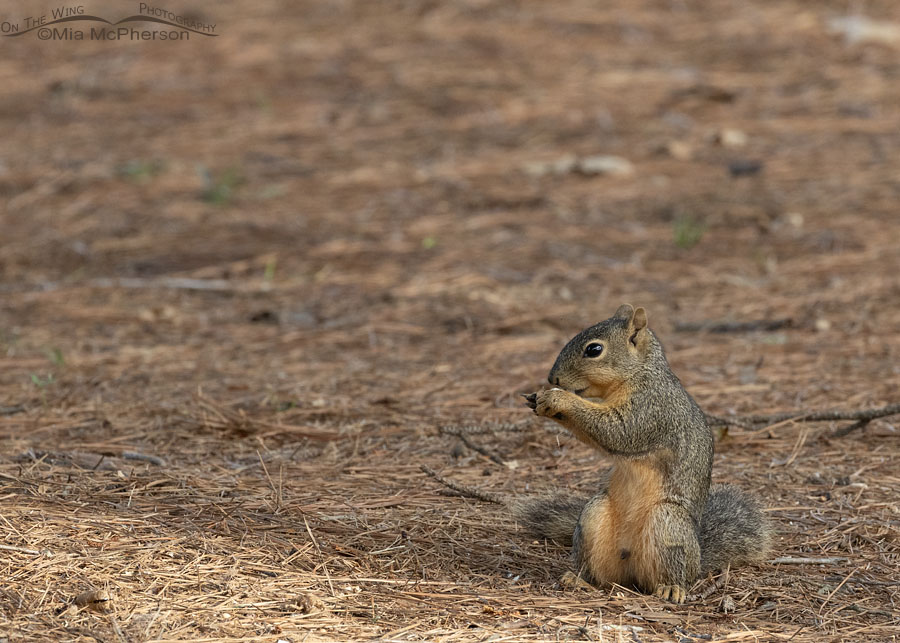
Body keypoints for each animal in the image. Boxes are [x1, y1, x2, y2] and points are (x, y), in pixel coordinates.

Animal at [524, 304, 768, 600]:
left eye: (594, 350)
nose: (552, 378)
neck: (640, 373)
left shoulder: (651, 408)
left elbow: (619, 431)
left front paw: (556, 398)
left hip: (667, 524)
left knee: (669, 574)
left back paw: (671, 588)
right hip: (594, 516)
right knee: (601, 575)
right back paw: (579, 581)